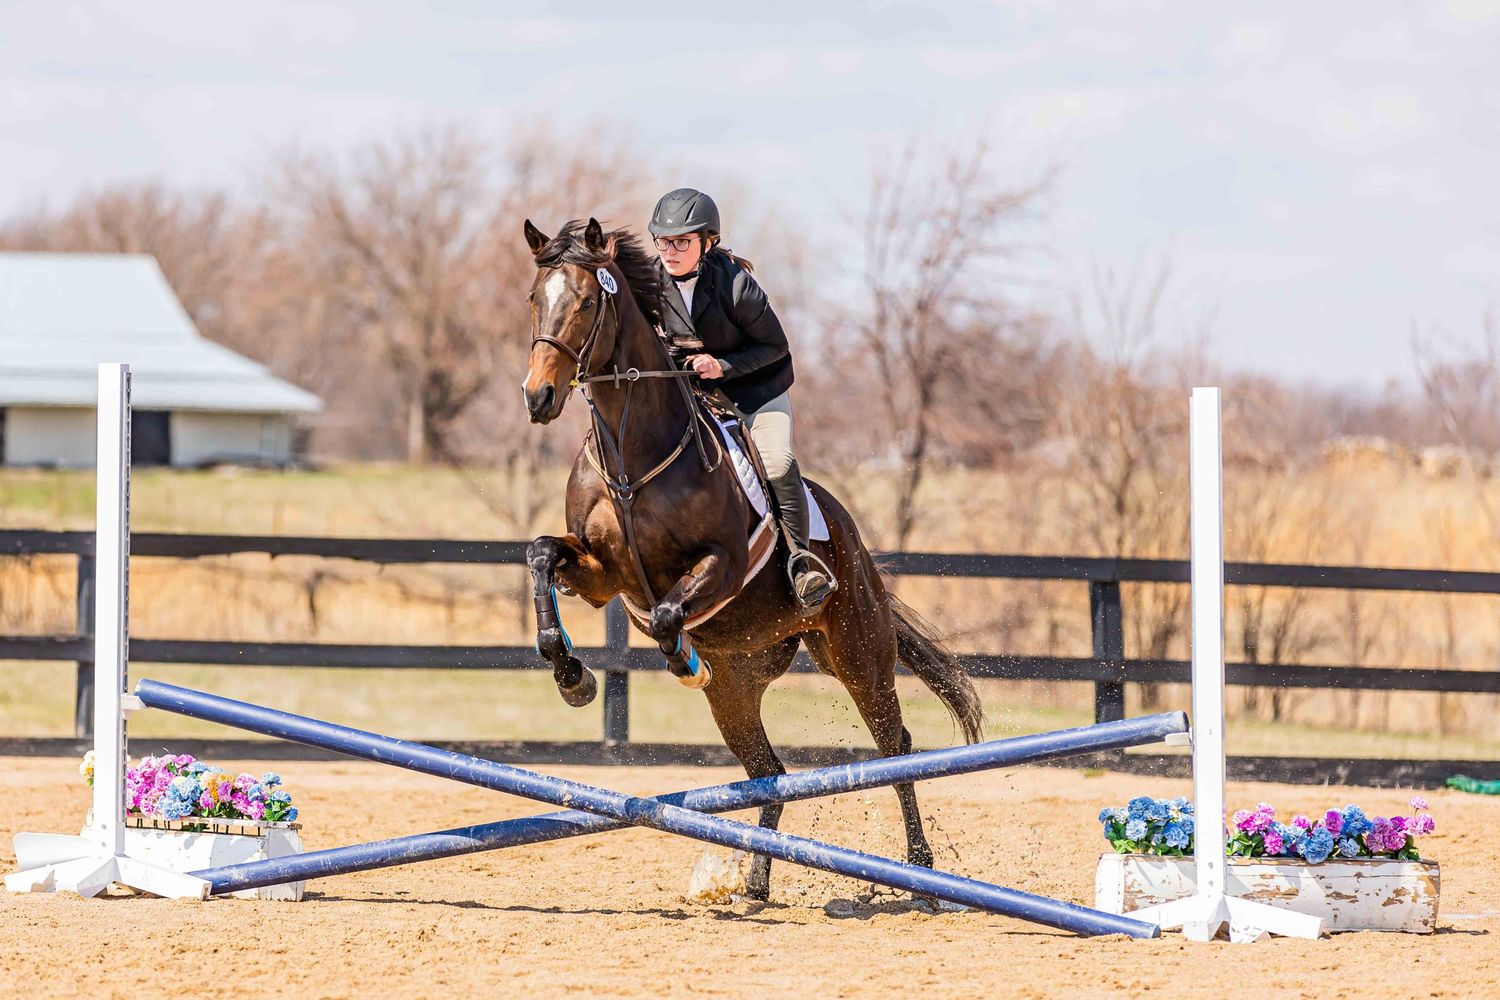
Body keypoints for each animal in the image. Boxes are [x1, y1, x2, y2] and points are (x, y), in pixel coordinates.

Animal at [520, 217, 983, 900]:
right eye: (534, 299)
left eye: (583, 302)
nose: (538, 396)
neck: (635, 448)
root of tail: (854, 543)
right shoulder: (603, 576)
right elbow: (541, 556)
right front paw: (572, 676)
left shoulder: (721, 567)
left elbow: (667, 615)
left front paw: (681, 660)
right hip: (738, 689)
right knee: (770, 771)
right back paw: (758, 879)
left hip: (858, 653)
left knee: (894, 746)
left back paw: (921, 869)